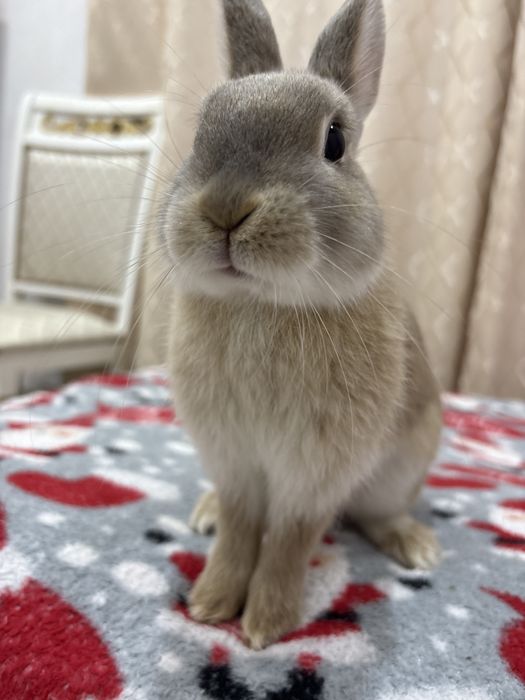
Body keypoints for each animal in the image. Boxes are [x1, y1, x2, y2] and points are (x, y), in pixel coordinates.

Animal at [161, 0, 442, 650]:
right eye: (200, 131)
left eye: (334, 141)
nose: (226, 209)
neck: (262, 303)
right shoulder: (234, 459)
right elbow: (241, 527)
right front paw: (211, 603)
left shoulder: (314, 473)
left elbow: (289, 541)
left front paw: (265, 624)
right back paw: (204, 513)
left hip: (400, 472)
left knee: (376, 516)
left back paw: (416, 547)